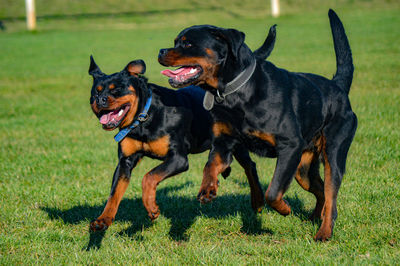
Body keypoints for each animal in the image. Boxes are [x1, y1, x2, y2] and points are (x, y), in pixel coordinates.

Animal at [87, 26, 276, 232]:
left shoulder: (178, 158)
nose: (100, 100)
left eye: (116, 89)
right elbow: (114, 193)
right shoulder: (125, 161)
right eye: (95, 92)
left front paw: (151, 207)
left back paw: (257, 201)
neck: (144, 118)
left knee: (250, 166)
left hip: (237, 142)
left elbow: (149, 177)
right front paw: (103, 219)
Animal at [158, 9, 358, 241]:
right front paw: (207, 188)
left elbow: (274, 190)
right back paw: (315, 218)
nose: (161, 51)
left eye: (188, 43)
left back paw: (324, 232)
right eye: (175, 42)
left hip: (333, 152)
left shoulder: (290, 146)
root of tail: (338, 86)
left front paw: (285, 209)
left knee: (331, 193)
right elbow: (210, 165)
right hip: (303, 169)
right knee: (321, 191)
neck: (235, 93)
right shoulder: (224, 142)